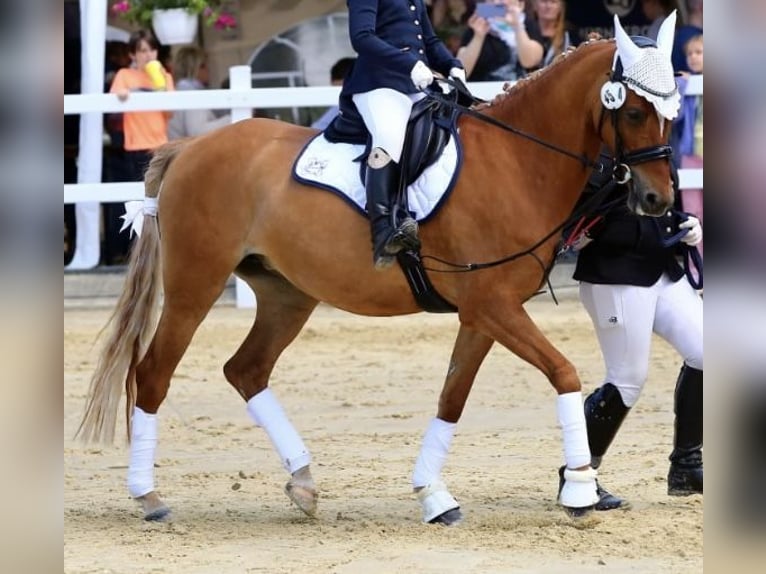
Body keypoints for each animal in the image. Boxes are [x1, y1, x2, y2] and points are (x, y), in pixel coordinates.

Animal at [78, 35, 680, 520]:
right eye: (632, 112)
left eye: (670, 113)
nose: (658, 200)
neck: (516, 160)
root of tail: (189, 149)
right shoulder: (493, 306)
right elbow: (564, 372)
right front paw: (579, 491)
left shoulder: (483, 313)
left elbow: (452, 399)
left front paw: (434, 496)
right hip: (194, 287)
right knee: (153, 374)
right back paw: (148, 497)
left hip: (286, 295)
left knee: (246, 370)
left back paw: (303, 482)